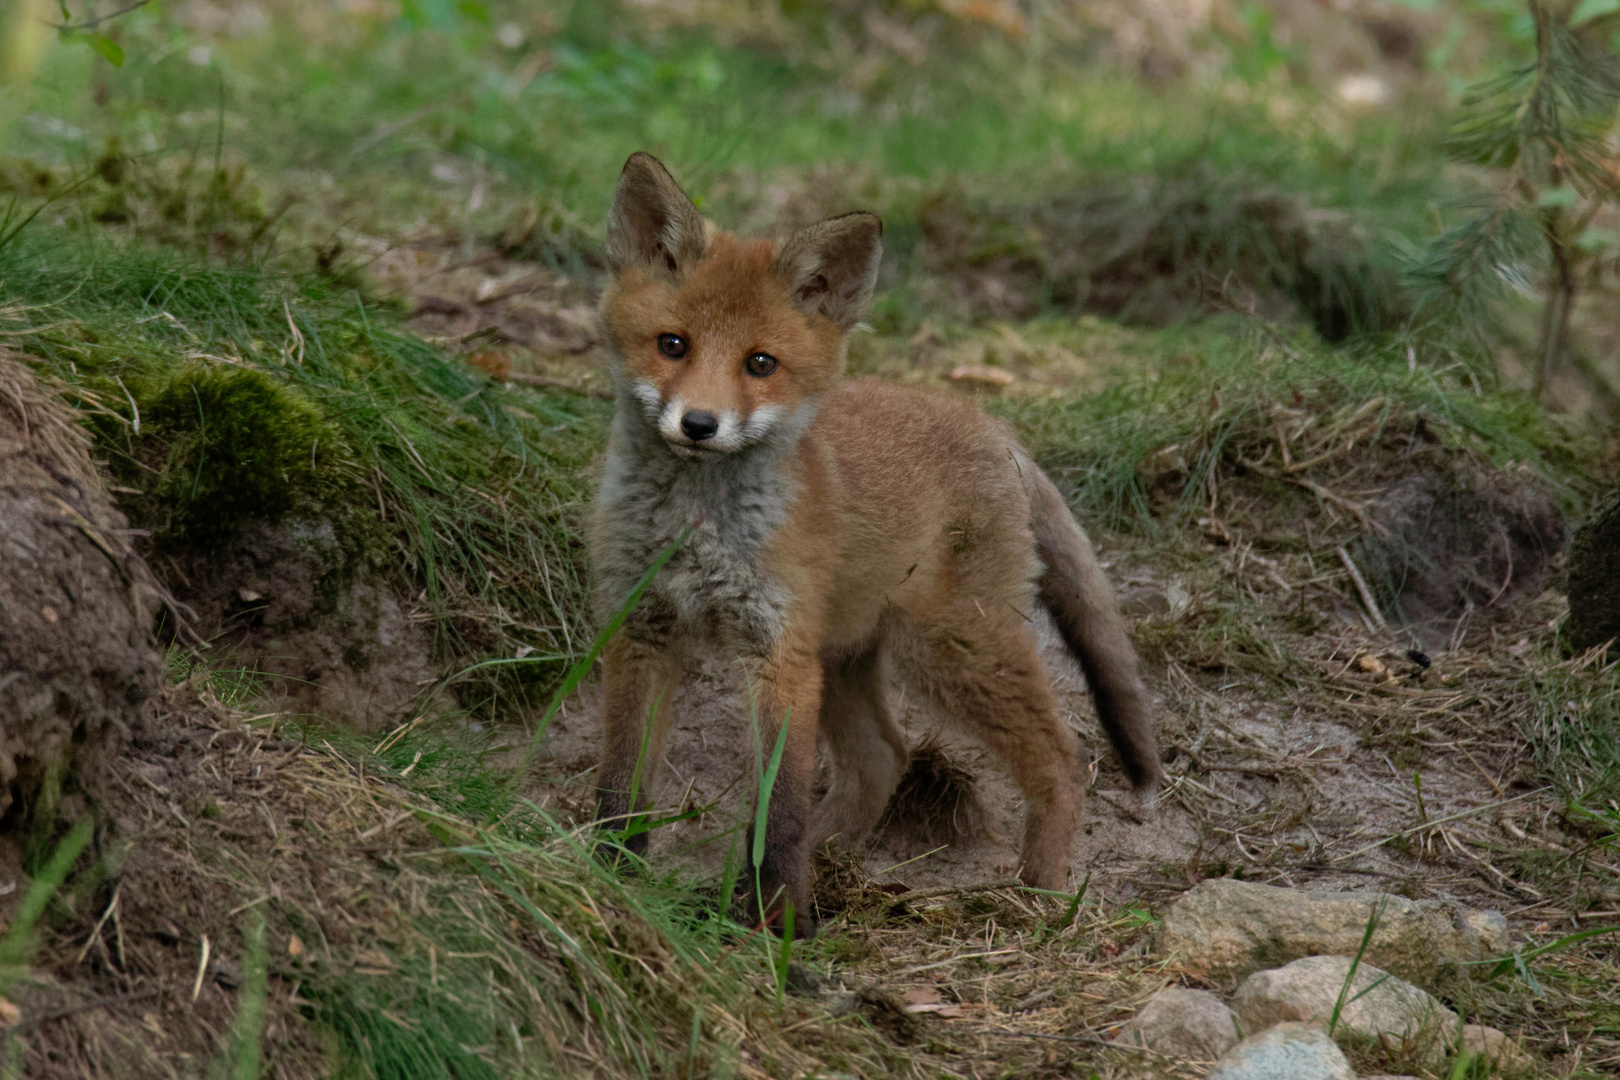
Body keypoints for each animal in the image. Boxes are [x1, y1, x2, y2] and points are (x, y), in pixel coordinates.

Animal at [589, 152, 1159, 932]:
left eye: (760, 364)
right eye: (672, 345)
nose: (699, 425)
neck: (696, 528)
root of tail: (994, 427)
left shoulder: (778, 653)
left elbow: (782, 808)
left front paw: (779, 927)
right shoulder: (643, 629)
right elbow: (621, 785)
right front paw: (610, 878)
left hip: (951, 651)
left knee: (1061, 756)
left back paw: (1040, 895)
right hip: (846, 656)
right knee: (882, 759)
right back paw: (819, 863)